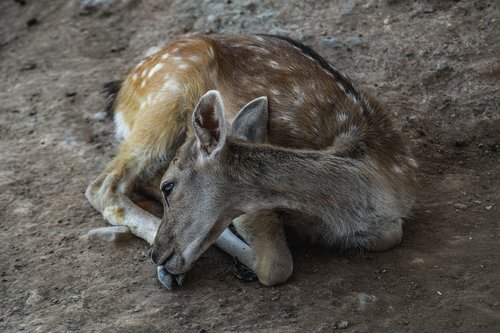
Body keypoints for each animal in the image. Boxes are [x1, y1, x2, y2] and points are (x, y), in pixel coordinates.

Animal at [86, 34, 418, 288]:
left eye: (170, 187)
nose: (158, 254)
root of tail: (122, 89)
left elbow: (391, 235)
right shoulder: (253, 207)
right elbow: (276, 265)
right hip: (166, 101)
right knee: (103, 186)